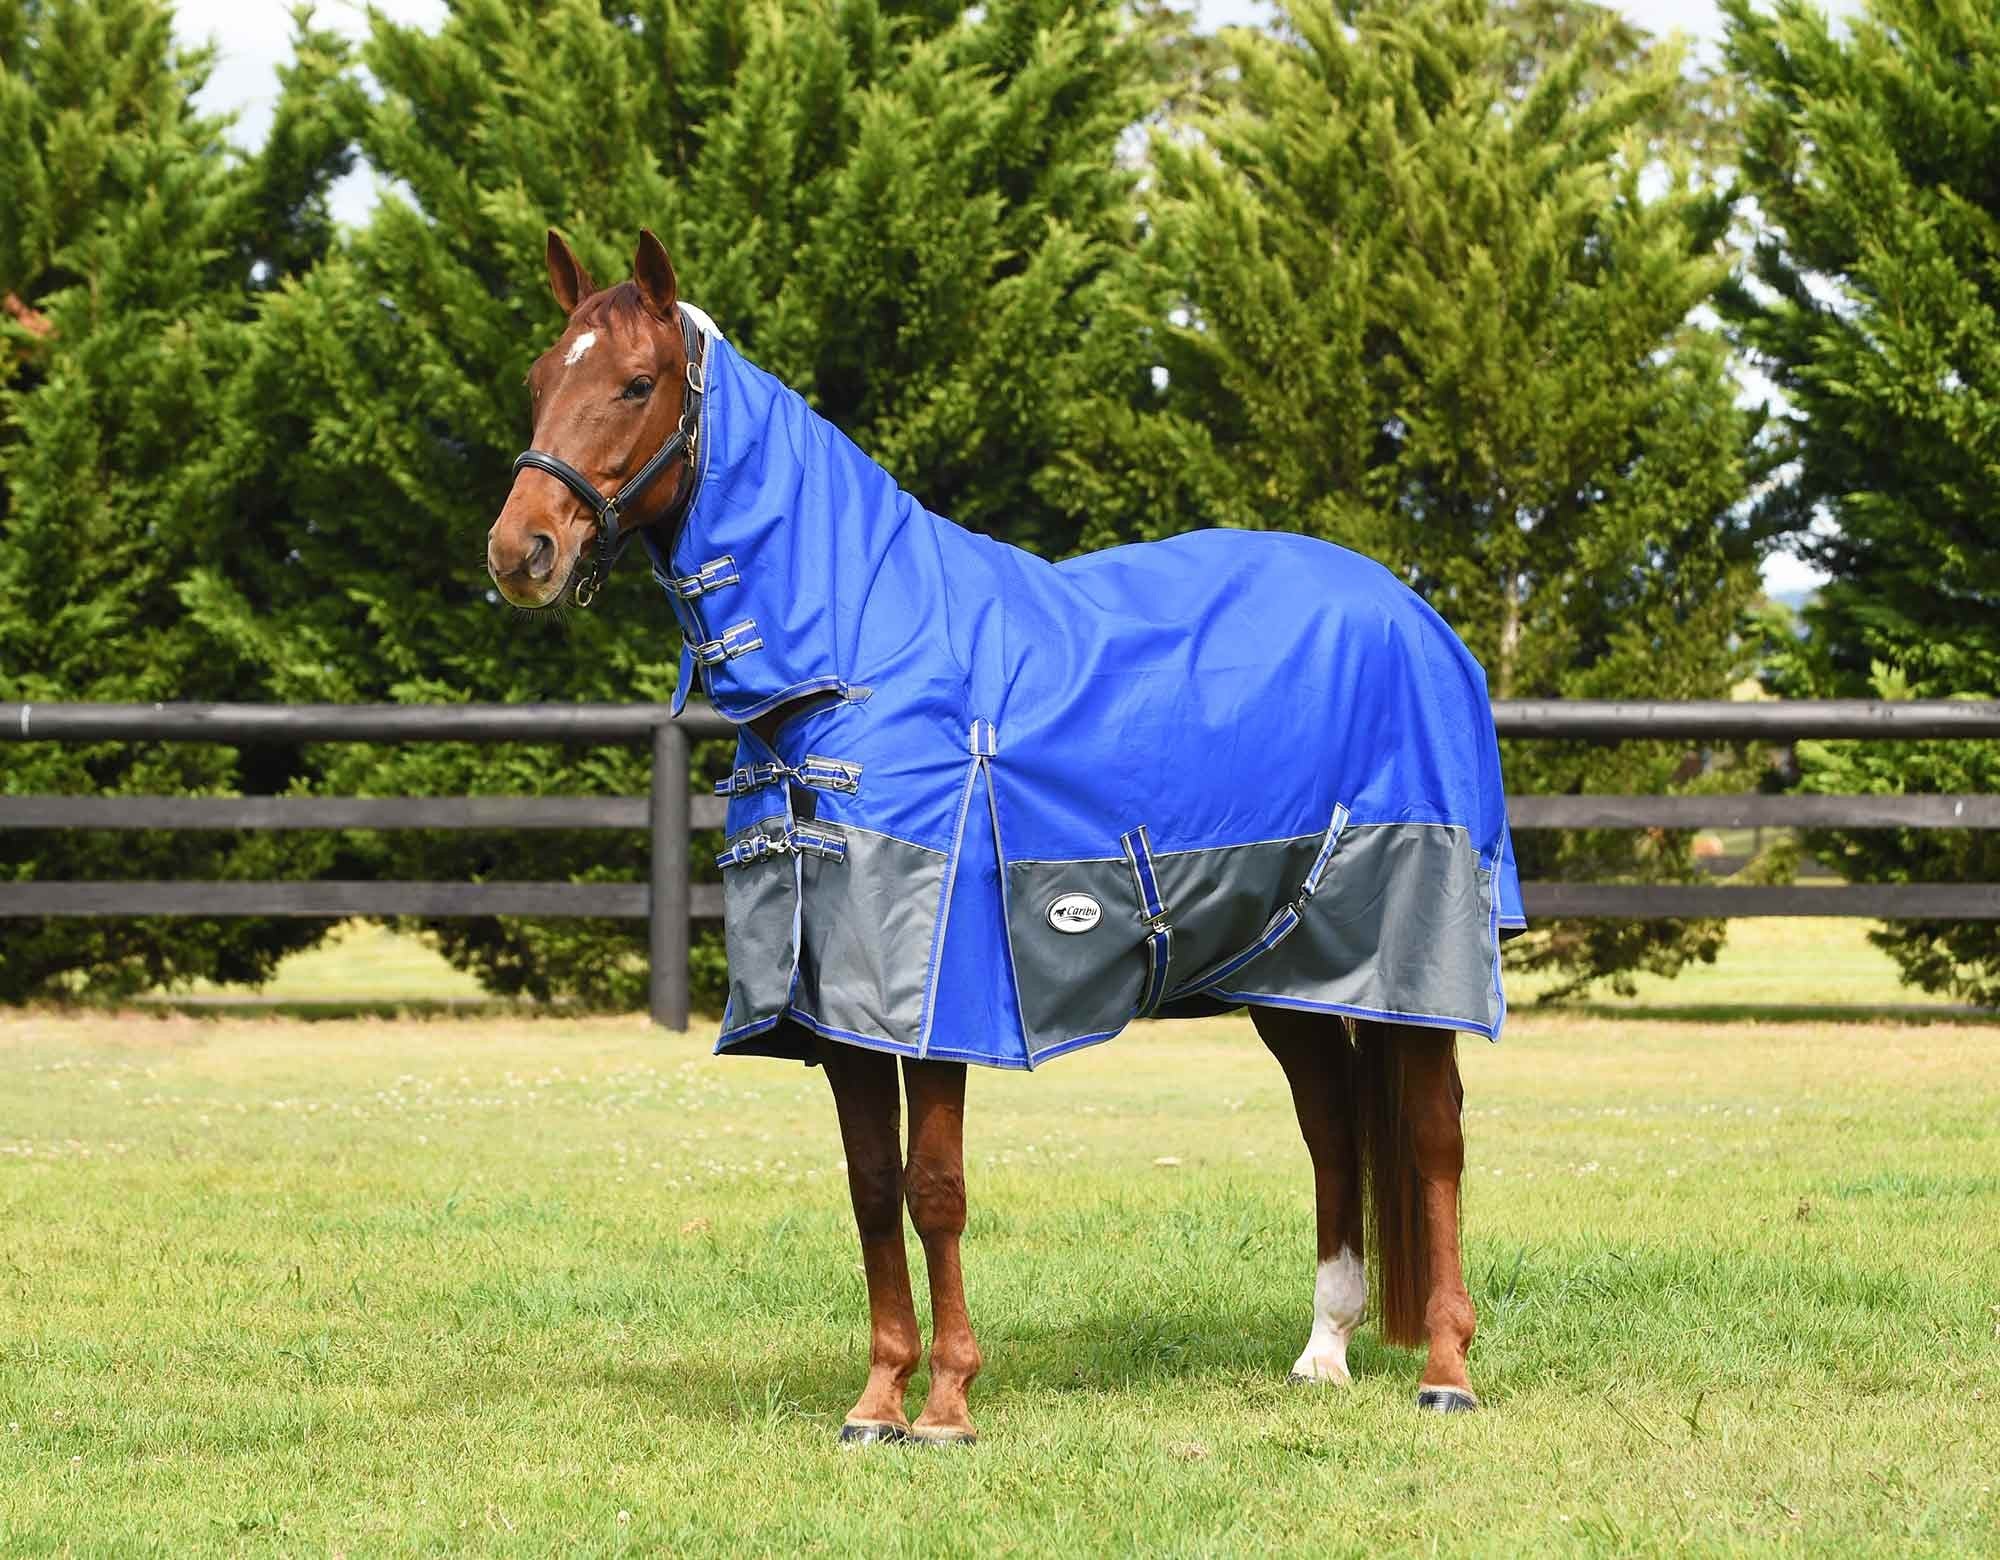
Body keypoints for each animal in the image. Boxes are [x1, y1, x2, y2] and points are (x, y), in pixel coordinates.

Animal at [487, 229, 1524, 1444]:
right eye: (539, 379)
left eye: (636, 383)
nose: (521, 551)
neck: (859, 654)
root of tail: (1415, 617)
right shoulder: (838, 1009)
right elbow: (870, 1190)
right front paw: (876, 1400)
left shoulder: (945, 992)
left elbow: (934, 1190)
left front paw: (945, 1405)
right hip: (1294, 977)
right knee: (1331, 1134)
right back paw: (1322, 1353)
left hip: (1419, 961)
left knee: (1433, 1139)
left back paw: (1445, 1369)